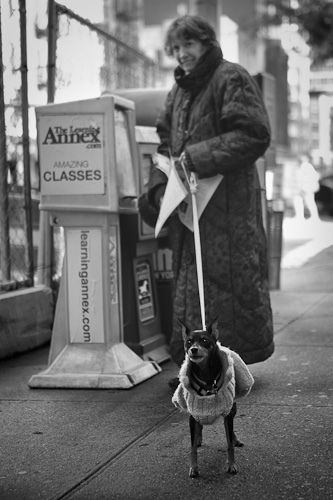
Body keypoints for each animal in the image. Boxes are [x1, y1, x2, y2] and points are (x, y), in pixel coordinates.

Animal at [171, 318, 252, 478]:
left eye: (204, 340)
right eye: (188, 342)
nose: (193, 349)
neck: (206, 374)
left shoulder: (227, 413)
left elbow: (229, 443)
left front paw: (231, 465)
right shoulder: (193, 414)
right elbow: (192, 447)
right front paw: (193, 467)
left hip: (232, 408)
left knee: (230, 430)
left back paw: (235, 439)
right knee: (199, 426)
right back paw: (199, 438)